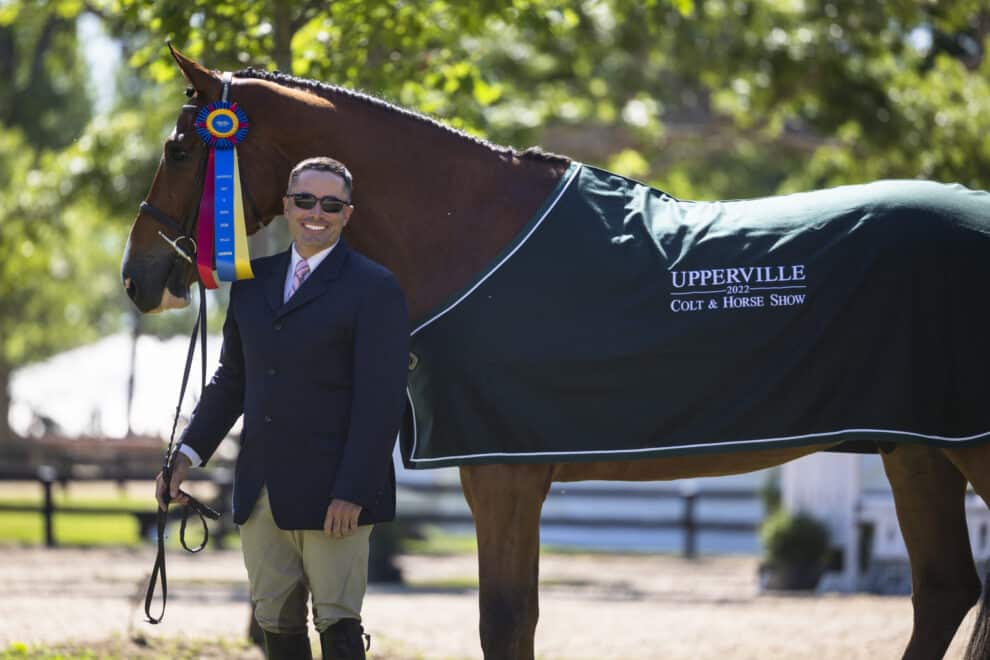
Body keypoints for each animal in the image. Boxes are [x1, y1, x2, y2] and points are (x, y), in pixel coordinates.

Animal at [122, 47, 990, 660]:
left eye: (179, 149)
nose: (139, 276)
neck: (473, 236)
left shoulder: (503, 474)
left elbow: (505, 624)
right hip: (916, 450)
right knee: (945, 589)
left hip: (961, 447)